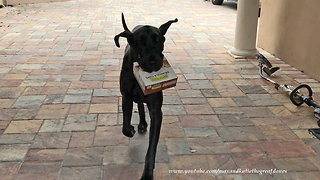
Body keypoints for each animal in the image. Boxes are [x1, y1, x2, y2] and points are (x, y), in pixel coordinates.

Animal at [114, 13, 178, 179]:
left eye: (159, 41)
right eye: (139, 43)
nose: (154, 61)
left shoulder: (156, 111)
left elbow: (152, 148)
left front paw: (148, 173)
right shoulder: (126, 97)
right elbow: (125, 125)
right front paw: (130, 129)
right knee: (139, 104)